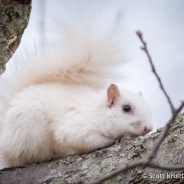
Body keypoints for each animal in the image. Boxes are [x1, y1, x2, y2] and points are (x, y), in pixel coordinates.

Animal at [0, 0, 152, 170]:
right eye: (126, 108)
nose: (149, 128)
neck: (97, 113)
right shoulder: (75, 128)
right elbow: (85, 140)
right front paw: (117, 139)